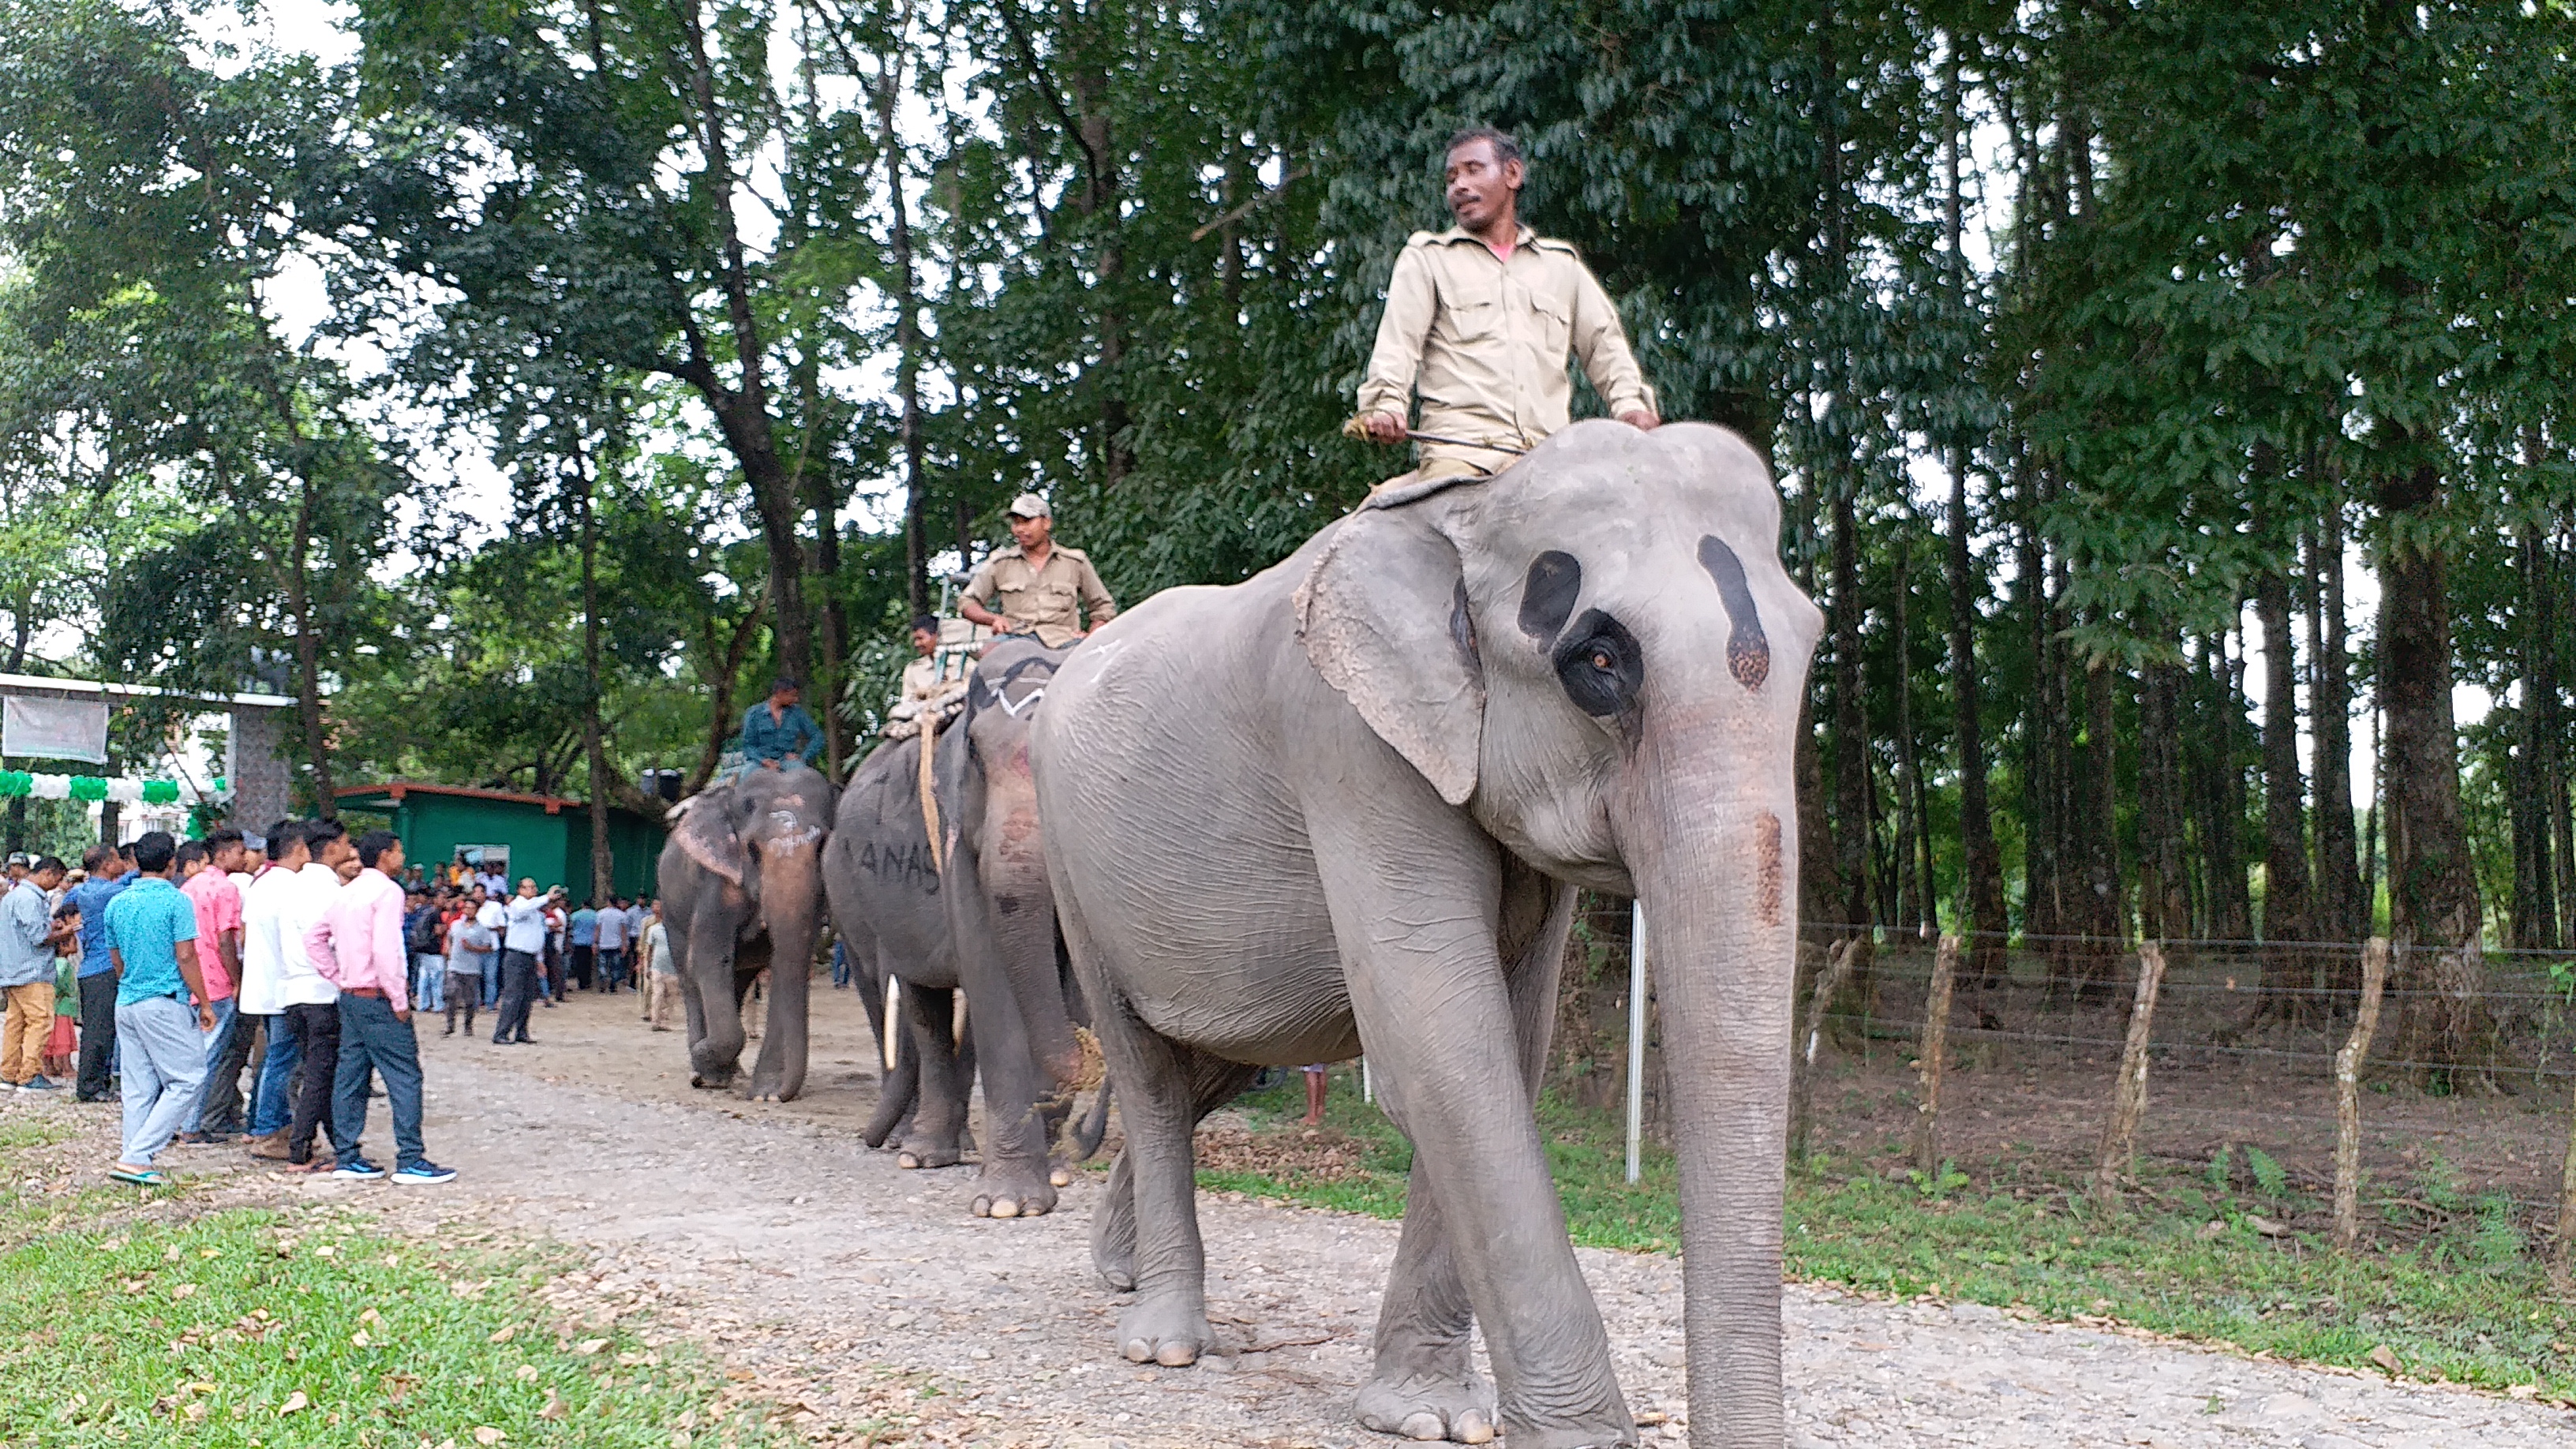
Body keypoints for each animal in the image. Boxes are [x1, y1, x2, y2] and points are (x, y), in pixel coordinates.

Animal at [659, 758, 840, 1093]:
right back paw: (707, 1072)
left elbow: (786, 962)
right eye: (752, 849)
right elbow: (708, 959)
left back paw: (731, 1073)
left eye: (822, 846)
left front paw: (765, 1093)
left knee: (739, 981)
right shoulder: (716, 881)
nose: (781, 1094)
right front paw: (706, 1064)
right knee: (689, 975)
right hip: (670, 909)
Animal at [829, 636, 1102, 1211]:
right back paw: (923, 1156)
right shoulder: (955, 830)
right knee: (922, 1004)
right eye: (974, 752)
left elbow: (1070, 986)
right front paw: (1009, 1205)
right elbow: (989, 972)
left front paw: (1056, 1175)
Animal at [1030, 420, 1833, 1443]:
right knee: (1147, 1072)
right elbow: (1447, 1052)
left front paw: (1432, 1415)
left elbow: (1505, 1052)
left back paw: (1117, 1271)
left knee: (1217, 1064)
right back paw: (1165, 1342)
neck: (1468, 507)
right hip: (1068, 862)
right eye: (1598, 662)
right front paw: (1566, 1438)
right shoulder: (1347, 744)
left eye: (1812, 642)